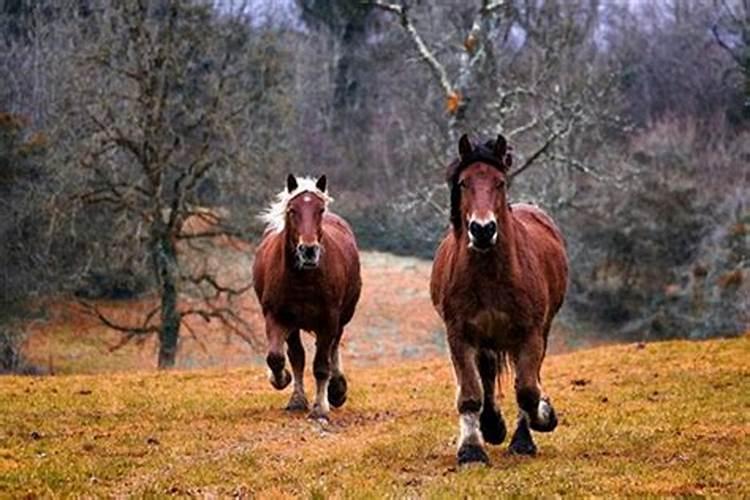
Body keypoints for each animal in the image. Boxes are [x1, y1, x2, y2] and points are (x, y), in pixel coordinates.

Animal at [254, 174, 362, 420]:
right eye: (292, 210)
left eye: (320, 209)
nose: (309, 250)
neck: (303, 279)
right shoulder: (277, 316)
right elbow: (278, 357)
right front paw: (283, 382)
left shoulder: (328, 319)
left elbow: (321, 365)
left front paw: (321, 407)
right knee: (297, 355)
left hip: (342, 317)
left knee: (333, 346)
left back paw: (337, 389)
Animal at [432, 134, 568, 464]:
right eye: (464, 183)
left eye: (500, 182)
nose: (483, 230)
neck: (491, 275)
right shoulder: (459, 335)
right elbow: (471, 393)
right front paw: (472, 449)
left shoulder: (530, 334)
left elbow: (528, 390)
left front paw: (542, 419)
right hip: (486, 339)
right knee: (488, 374)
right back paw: (491, 425)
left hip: (539, 332)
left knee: (525, 378)